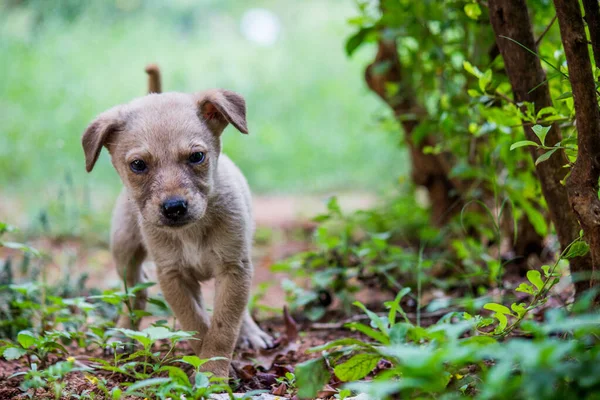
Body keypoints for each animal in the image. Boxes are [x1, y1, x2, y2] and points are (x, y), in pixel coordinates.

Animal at [81, 77, 272, 376]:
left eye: (197, 157)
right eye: (138, 164)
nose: (174, 208)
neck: (190, 231)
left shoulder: (234, 268)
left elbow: (223, 326)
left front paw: (213, 373)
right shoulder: (172, 274)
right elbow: (195, 323)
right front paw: (207, 366)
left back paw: (250, 332)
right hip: (124, 249)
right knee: (135, 292)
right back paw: (122, 335)